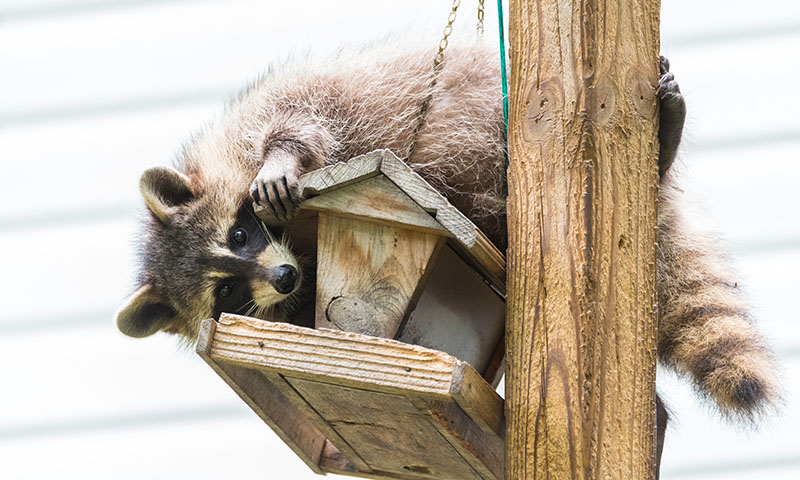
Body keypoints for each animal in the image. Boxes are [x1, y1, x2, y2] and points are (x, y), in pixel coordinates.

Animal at [115, 40, 779, 468]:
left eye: (238, 235)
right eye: (224, 291)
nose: (280, 277)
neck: (299, 248)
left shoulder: (275, 110)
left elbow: (302, 116)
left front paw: (282, 158)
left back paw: (664, 141)